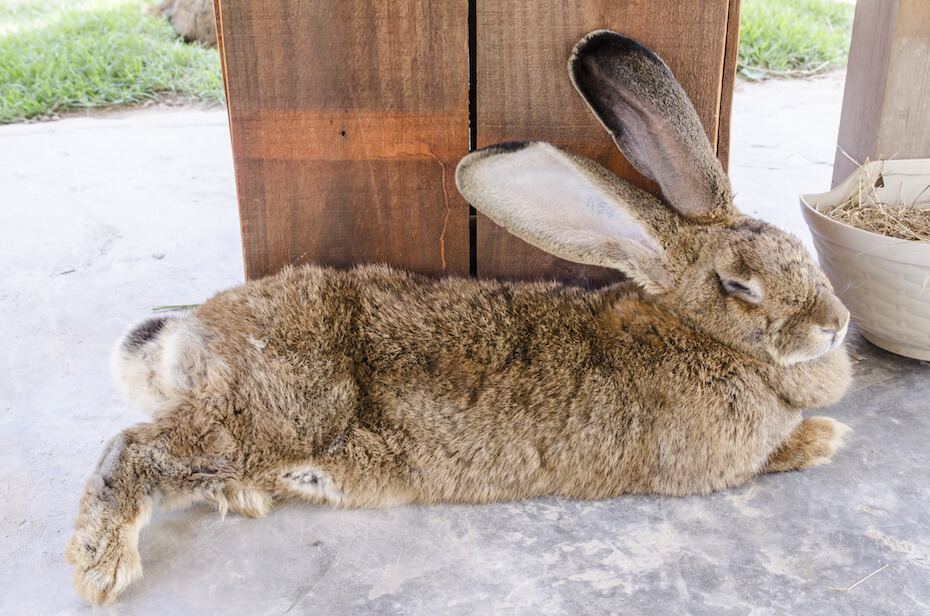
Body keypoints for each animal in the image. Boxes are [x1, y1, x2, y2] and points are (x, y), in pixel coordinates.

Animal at [66, 30, 853, 604]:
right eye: (739, 285)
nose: (837, 323)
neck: (703, 335)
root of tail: (188, 338)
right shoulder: (719, 461)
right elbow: (778, 452)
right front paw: (826, 437)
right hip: (270, 413)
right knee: (131, 448)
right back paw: (100, 567)